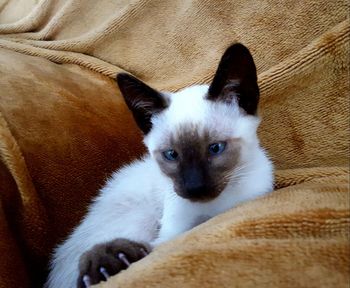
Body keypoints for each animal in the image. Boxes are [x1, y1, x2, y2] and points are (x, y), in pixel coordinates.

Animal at [44, 42, 274, 288]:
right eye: (171, 155)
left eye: (215, 148)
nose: (194, 188)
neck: (214, 209)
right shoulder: (173, 232)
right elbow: (155, 246)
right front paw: (107, 261)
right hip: (141, 214)